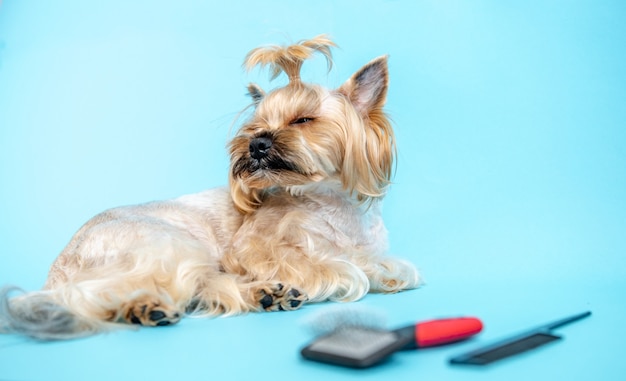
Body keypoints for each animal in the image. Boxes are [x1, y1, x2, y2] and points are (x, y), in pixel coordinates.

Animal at [1, 35, 420, 338]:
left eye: (303, 119)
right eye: (255, 126)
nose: (256, 144)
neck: (329, 203)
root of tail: (59, 268)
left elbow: (386, 265)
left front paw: (383, 271)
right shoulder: (253, 249)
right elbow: (340, 268)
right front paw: (343, 272)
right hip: (172, 245)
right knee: (97, 295)